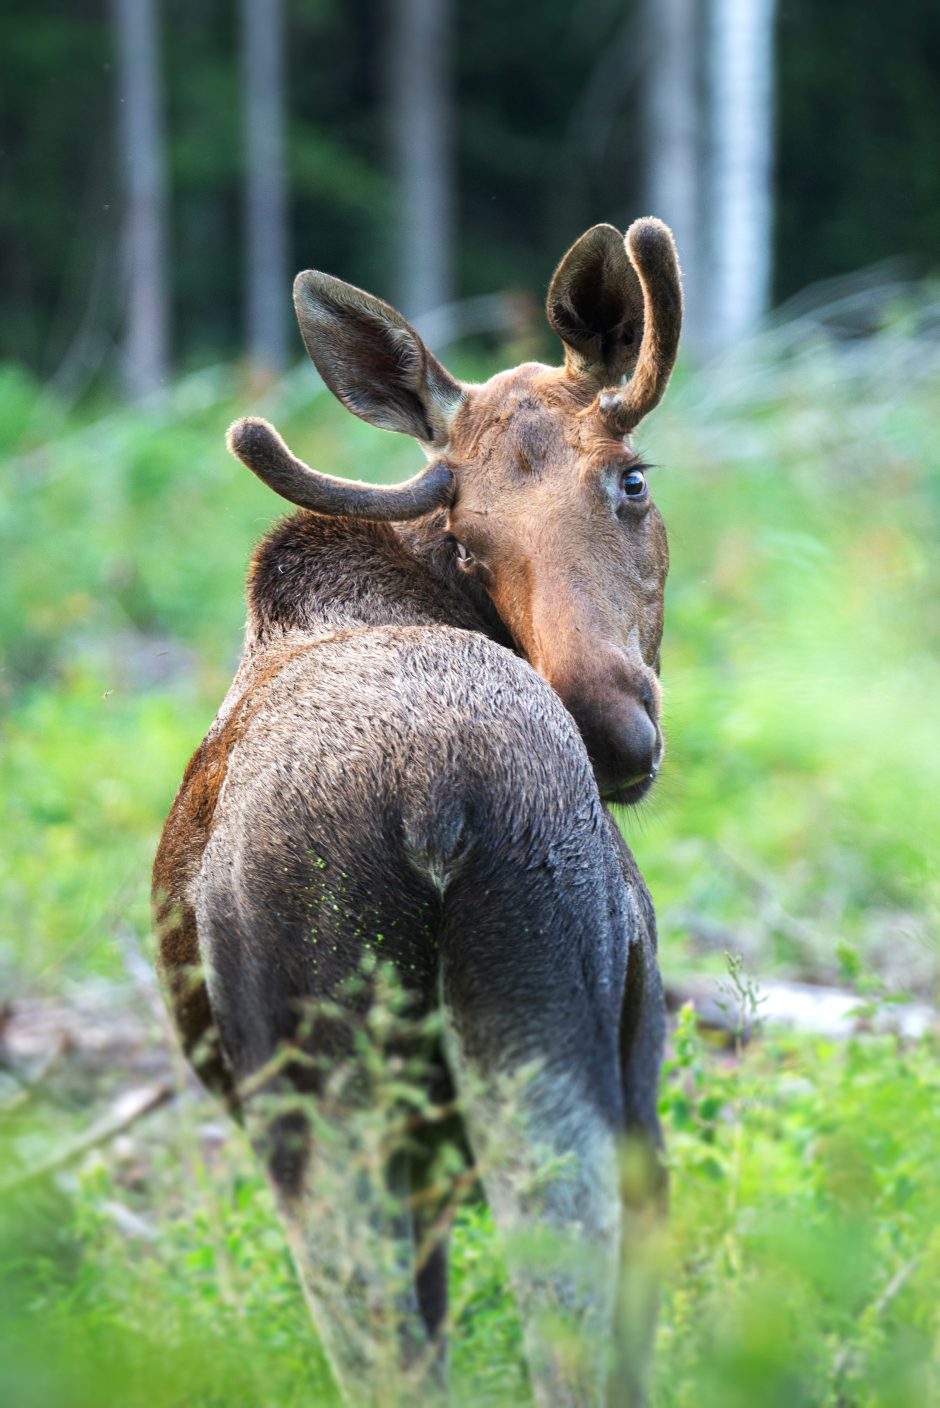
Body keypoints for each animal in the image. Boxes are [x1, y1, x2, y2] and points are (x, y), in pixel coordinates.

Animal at [154, 214, 683, 1402]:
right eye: (470, 538)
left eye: (628, 480)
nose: (611, 728)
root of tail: (432, 796)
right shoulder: (642, 1044)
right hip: (514, 1021)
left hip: (371, 1091)